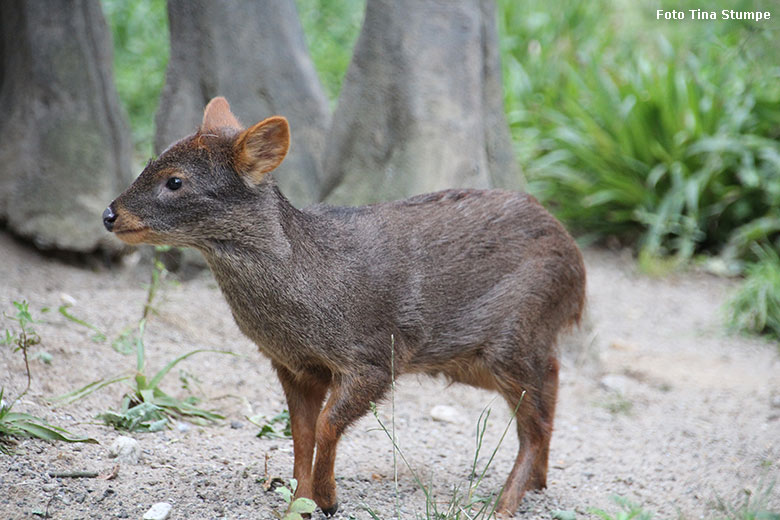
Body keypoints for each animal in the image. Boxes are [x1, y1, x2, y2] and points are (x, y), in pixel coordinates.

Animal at [102, 97, 584, 516]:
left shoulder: (376, 356)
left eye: (175, 181)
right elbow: (300, 433)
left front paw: (328, 498)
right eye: (148, 163)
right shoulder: (294, 366)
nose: (109, 214)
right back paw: (538, 482)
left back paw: (504, 504)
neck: (313, 293)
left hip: (512, 337)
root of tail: (577, 266)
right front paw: (298, 502)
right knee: (551, 385)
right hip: (483, 355)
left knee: (535, 424)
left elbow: (327, 425)